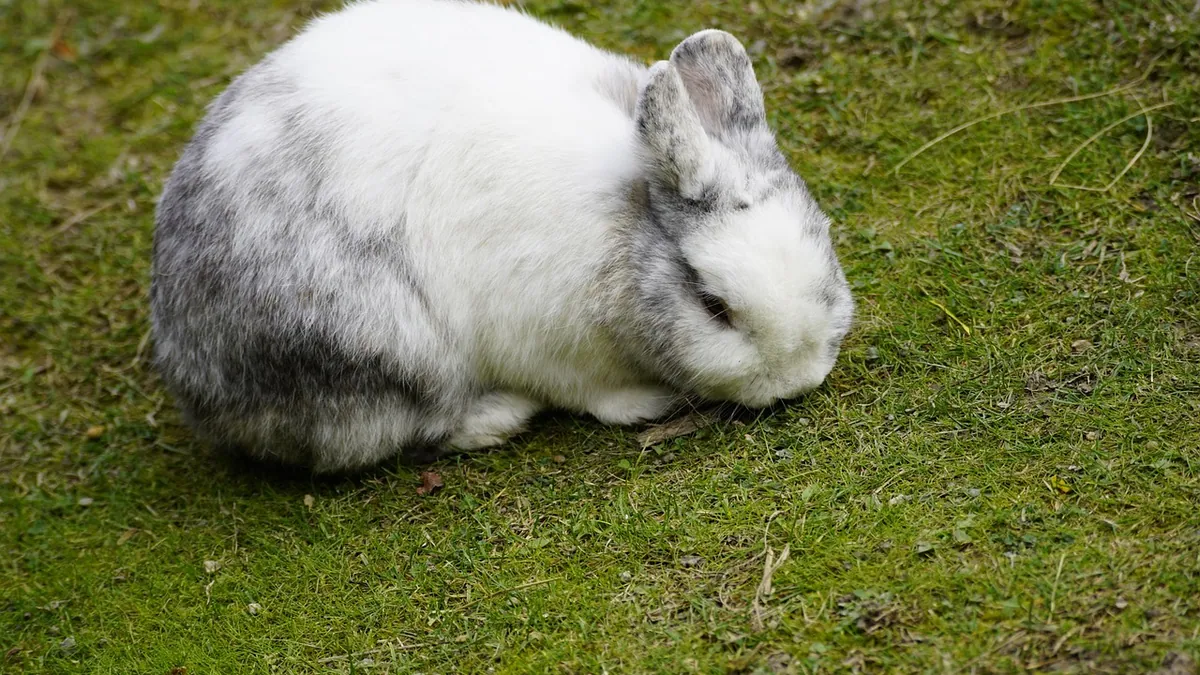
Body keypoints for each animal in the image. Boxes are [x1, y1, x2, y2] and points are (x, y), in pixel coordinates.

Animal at [150, 0, 855, 472]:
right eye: (714, 306)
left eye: (823, 239)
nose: (796, 381)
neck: (624, 225)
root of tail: (195, 384)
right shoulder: (547, 346)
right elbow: (595, 396)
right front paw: (646, 403)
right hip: (386, 351)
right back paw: (499, 416)